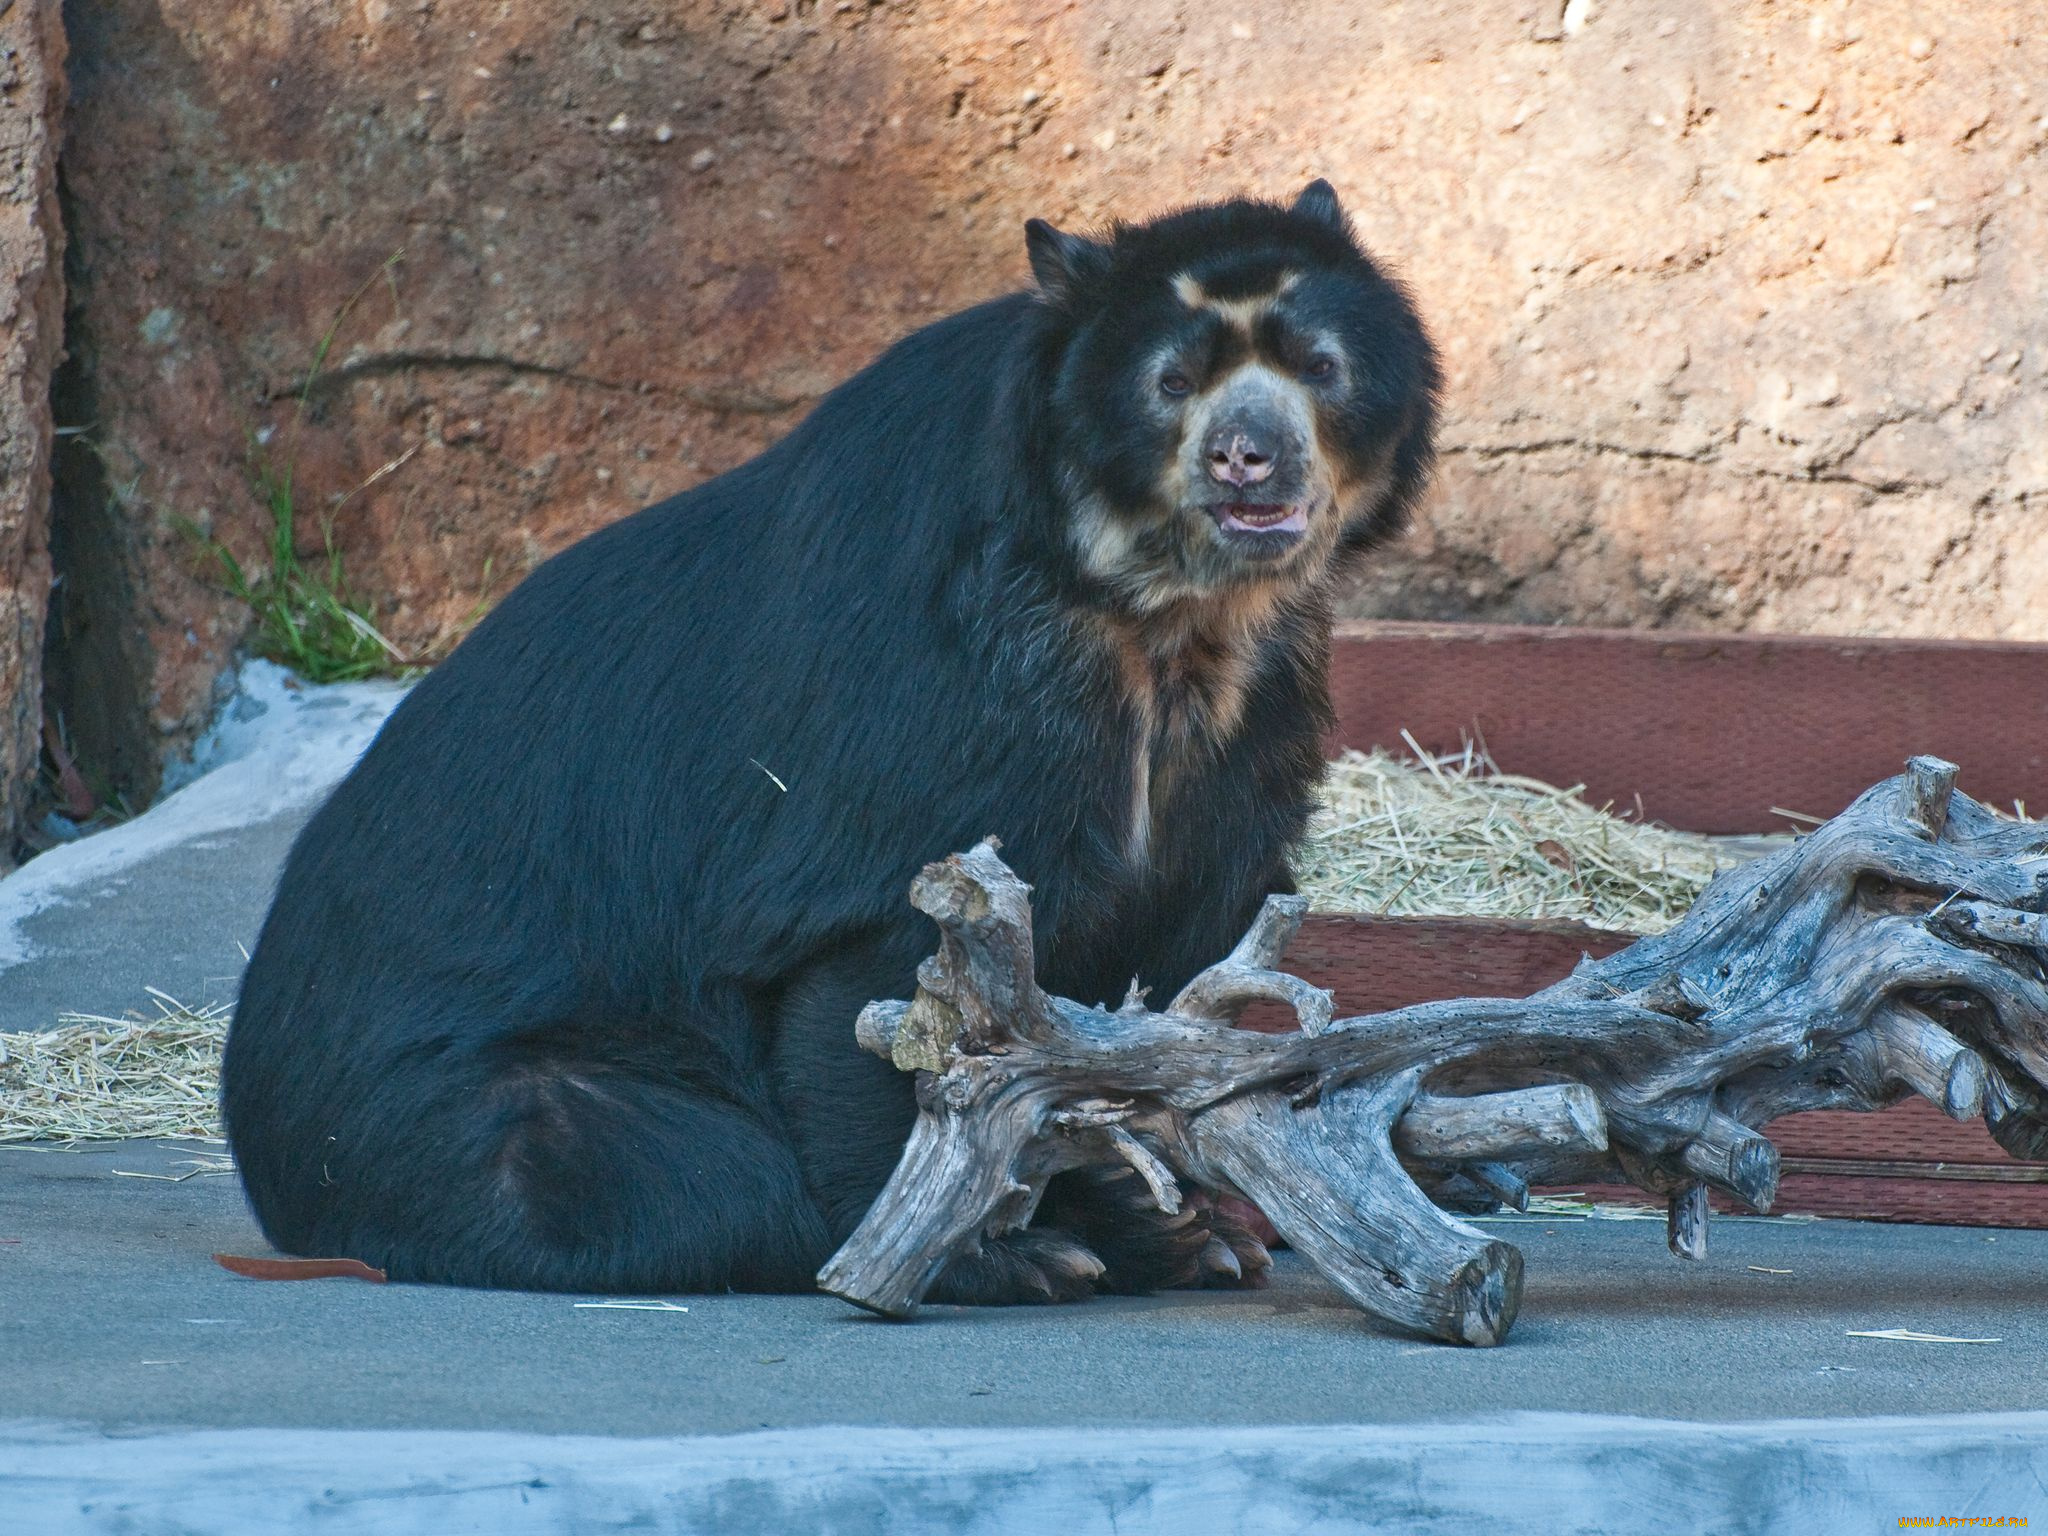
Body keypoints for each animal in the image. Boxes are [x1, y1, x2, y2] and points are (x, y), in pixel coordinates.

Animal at [224, 183, 1441, 1310]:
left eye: (1319, 366)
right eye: (1171, 383)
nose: (1249, 459)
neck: (1160, 604)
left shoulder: (1251, 707)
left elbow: (1196, 940)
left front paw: (1199, 1217)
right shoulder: (947, 679)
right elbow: (885, 955)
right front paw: (982, 1251)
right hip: (467, 1106)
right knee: (682, 1176)